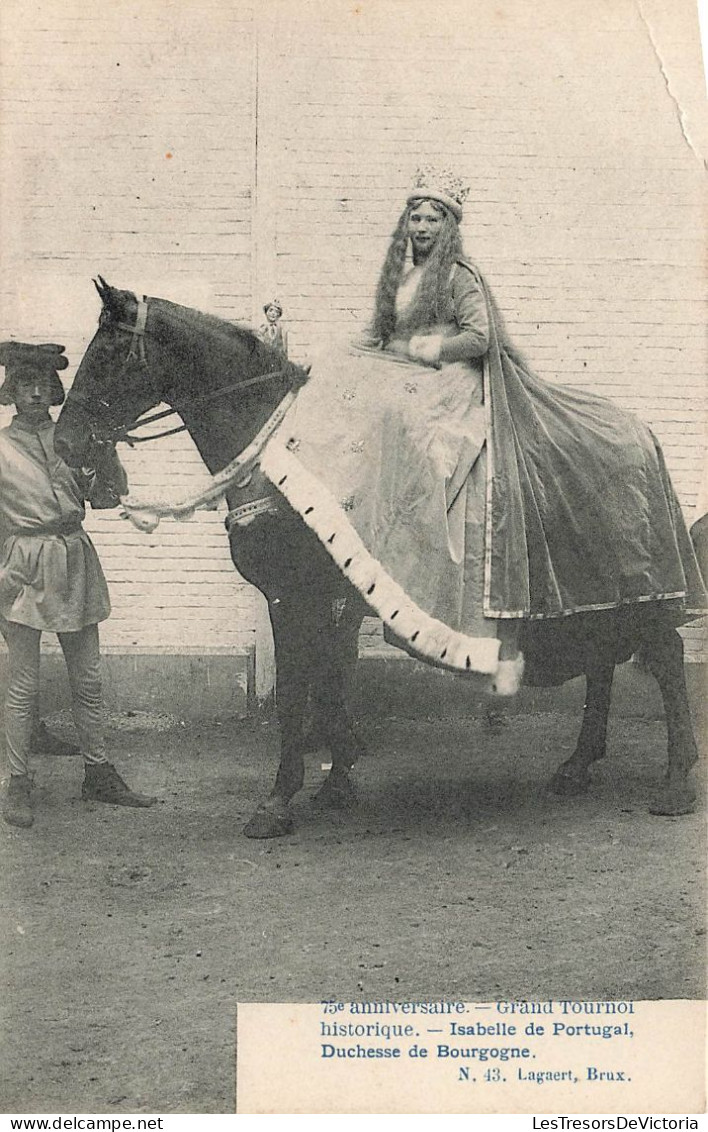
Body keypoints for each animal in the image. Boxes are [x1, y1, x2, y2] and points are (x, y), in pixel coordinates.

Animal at [55, 281, 702, 833]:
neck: (272, 449)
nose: (64, 442)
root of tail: (644, 432)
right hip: (593, 589)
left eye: (108, 353)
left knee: (666, 656)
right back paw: (578, 764)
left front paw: (278, 800)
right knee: (604, 658)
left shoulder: (293, 596)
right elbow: (331, 683)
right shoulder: (331, 597)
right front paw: (337, 779)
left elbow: (299, 690)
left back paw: (677, 784)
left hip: (630, 584)